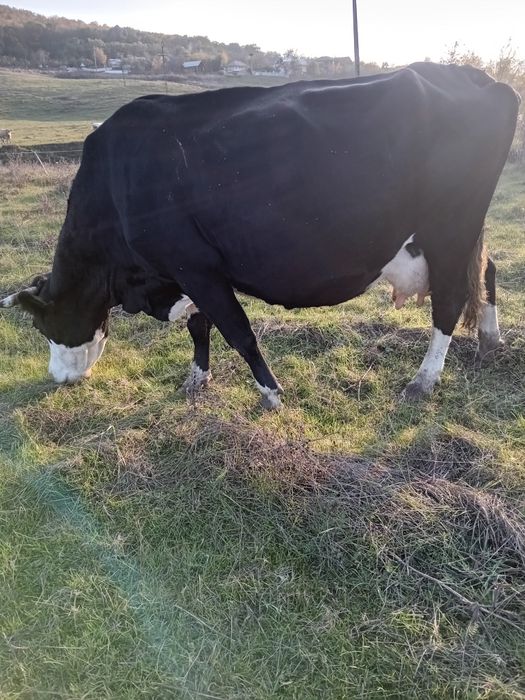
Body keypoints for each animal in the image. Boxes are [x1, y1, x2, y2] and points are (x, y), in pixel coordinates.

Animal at [0, 63, 520, 409]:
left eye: (43, 327)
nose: (55, 378)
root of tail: (475, 77)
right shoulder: (188, 272)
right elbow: (200, 325)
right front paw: (197, 379)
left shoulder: (194, 265)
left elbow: (238, 330)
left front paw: (271, 392)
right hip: (459, 231)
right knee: (487, 269)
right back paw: (489, 340)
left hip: (449, 226)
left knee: (450, 299)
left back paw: (423, 380)